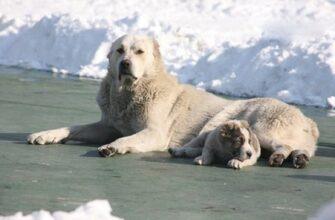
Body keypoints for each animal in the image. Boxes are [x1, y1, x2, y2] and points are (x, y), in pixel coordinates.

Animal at [27, 34, 318, 168]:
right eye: (120, 50)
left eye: (139, 51)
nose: (125, 63)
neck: (132, 92)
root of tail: (308, 120)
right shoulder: (108, 125)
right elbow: (74, 127)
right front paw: (45, 134)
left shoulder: (154, 132)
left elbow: (129, 138)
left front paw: (112, 147)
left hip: (260, 124)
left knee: (281, 145)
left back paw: (282, 157)